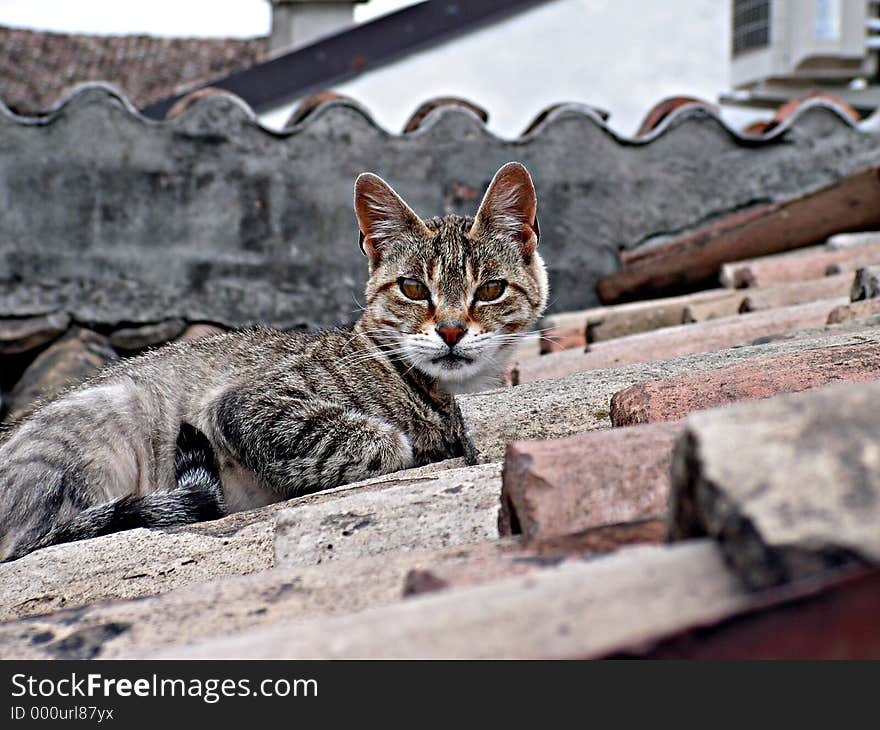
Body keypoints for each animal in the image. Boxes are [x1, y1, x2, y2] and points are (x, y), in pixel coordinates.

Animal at [0, 162, 548, 560]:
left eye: (491, 289)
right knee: (35, 539)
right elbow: (385, 442)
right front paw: (422, 441)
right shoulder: (248, 405)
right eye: (413, 288)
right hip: (111, 412)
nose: (451, 330)